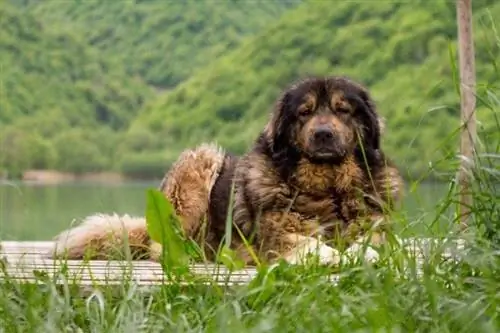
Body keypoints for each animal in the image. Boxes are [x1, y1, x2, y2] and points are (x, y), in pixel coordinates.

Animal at [48, 76, 404, 266]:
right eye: (304, 113)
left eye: (344, 111)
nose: (323, 134)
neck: (327, 186)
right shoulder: (278, 236)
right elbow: (314, 245)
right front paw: (336, 256)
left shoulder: (376, 224)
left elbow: (374, 241)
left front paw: (363, 253)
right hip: (199, 164)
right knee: (160, 247)